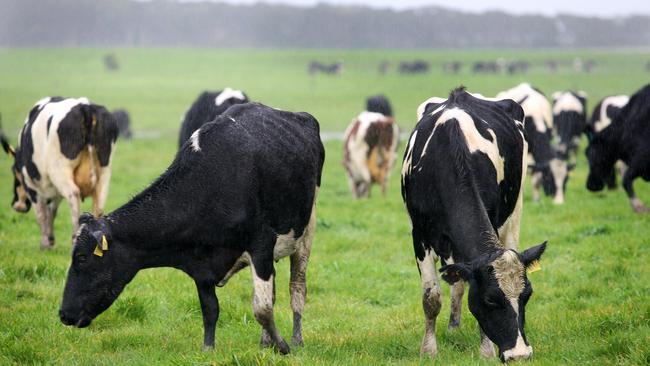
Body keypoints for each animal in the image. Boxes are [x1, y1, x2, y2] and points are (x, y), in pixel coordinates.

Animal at [0, 96, 117, 249]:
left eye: (14, 171)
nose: (18, 205)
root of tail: (85, 107)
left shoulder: (32, 184)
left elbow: (41, 213)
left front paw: (45, 243)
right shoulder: (54, 190)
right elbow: (52, 211)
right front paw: (50, 240)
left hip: (60, 171)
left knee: (73, 196)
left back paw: (75, 239)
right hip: (104, 172)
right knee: (99, 205)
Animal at [57, 101, 324, 354]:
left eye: (81, 258)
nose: (63, 314)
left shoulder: (261, 243)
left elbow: (262, 308)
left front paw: (283, 346)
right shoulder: (200, 264)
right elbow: (210, 309)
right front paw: (208, 348)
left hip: (306, 230)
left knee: (297, 288)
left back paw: (296, 339)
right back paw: (264, 342)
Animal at [400, 88, 548, 364]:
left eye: (527, 295)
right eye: (490, 300)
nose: (520, 354)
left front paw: (486, 351)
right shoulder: (420, 235)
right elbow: (431, 298)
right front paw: (429, 351)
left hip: (515, 211)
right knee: (455, 280)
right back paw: (453, 327)